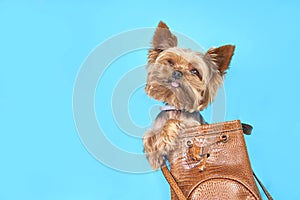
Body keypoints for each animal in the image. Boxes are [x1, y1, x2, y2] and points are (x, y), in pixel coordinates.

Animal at [142, 21, 236, 170]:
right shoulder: (152, 134)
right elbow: (149, 140)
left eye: (194, 71)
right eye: (170, 62)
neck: (176, 106)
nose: (177, 72)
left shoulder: (194, 127)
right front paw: (163, 142)